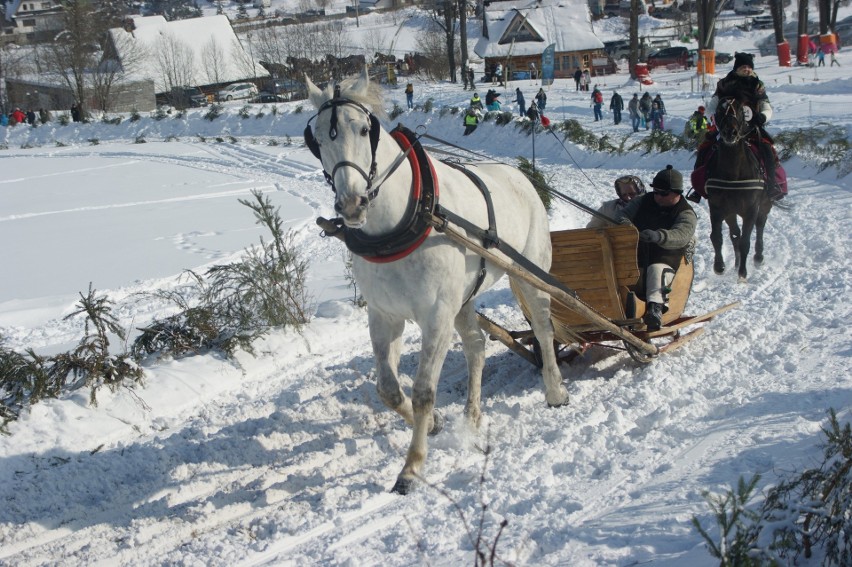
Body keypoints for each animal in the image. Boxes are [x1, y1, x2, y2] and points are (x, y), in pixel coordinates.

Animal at [302, 71, 568, 494]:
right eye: (317, 139)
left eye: (363, 129)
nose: (352, 205)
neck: (400, 224)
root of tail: (518, 175)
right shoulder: (384, 315)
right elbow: (389, 389)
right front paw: (437, 423)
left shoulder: (437, 315)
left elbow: (424, 391)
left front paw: (412, 467)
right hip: (464, 297)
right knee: (476, 347)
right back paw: (472, 418)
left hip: (529, 272)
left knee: (543, 329)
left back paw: (555, 390)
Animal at [704, 98, 776, 284]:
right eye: (719, 110)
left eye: (740, 110)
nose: (730, 132)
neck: (733, 174)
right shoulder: (717, 208)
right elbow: (717, 237)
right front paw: (719, 266)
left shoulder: (750, 210)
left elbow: (745, 241)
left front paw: (743, 273)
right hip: (731, 212)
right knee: (734, 233)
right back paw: (736, 263)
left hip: (765, 205)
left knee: (760, 226)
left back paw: (758, 257)